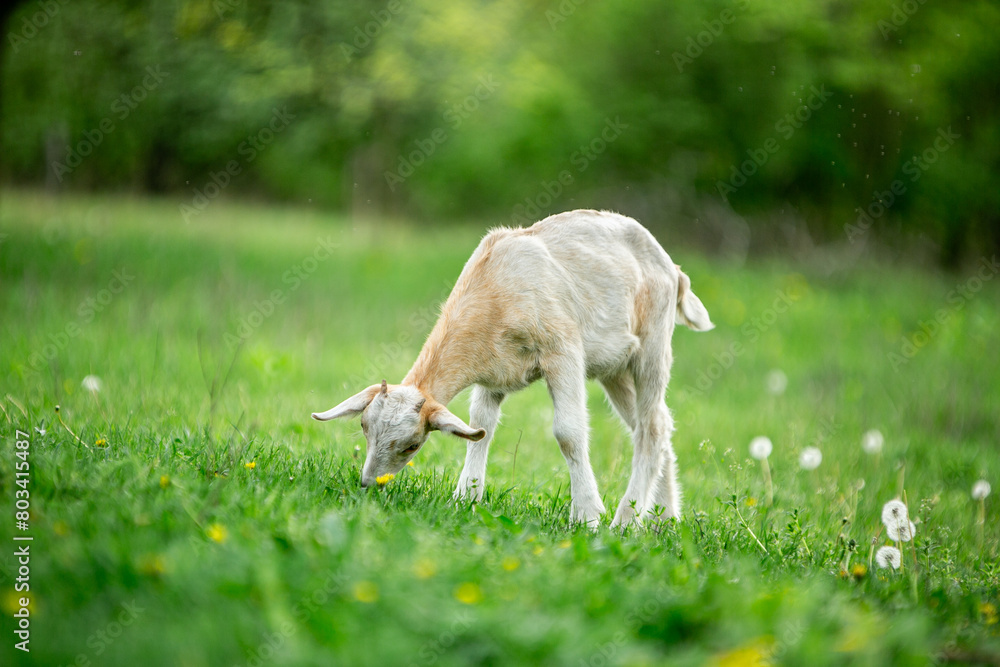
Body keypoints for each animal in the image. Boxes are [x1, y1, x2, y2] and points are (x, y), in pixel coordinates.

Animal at [312, 210, 713, 527]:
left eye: (412, 445)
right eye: (364, 428)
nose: (369, 484)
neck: (496, 291)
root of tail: (673, 268)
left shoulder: (563, 350)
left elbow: (568, 433)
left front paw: (587, 515)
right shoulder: (494, 372)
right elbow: (481, 426)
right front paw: (466, 498)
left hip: (653, 344)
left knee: (651, 426)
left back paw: (626, 520)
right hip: (613, 368)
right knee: (657, 424)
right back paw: (663, 518)